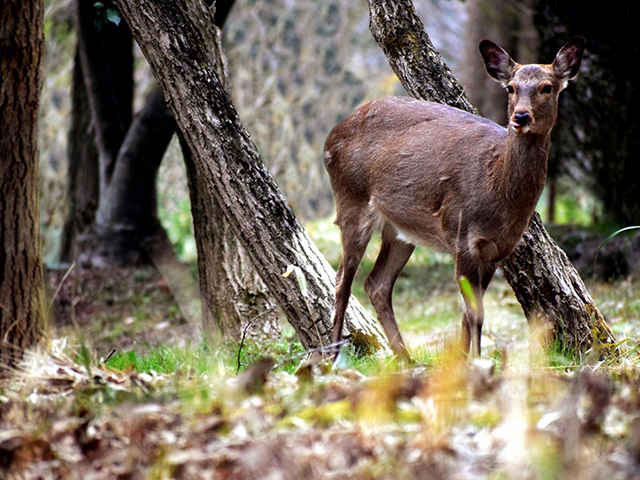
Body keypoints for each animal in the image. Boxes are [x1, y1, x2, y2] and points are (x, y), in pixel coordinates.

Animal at [324, 38, 584, 360]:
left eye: (547, 87)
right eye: (511, 88)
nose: (520, 117)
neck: (497, 190)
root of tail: (330, 139)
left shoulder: (495, 250)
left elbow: (469, 313)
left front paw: (462, 361)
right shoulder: (463, 235)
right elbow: (474, 313)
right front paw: (475, 362)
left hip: (400, 230)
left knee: (376, 283)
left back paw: (406, 359)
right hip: (351, 198)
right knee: (342, 281)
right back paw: (330, 358)